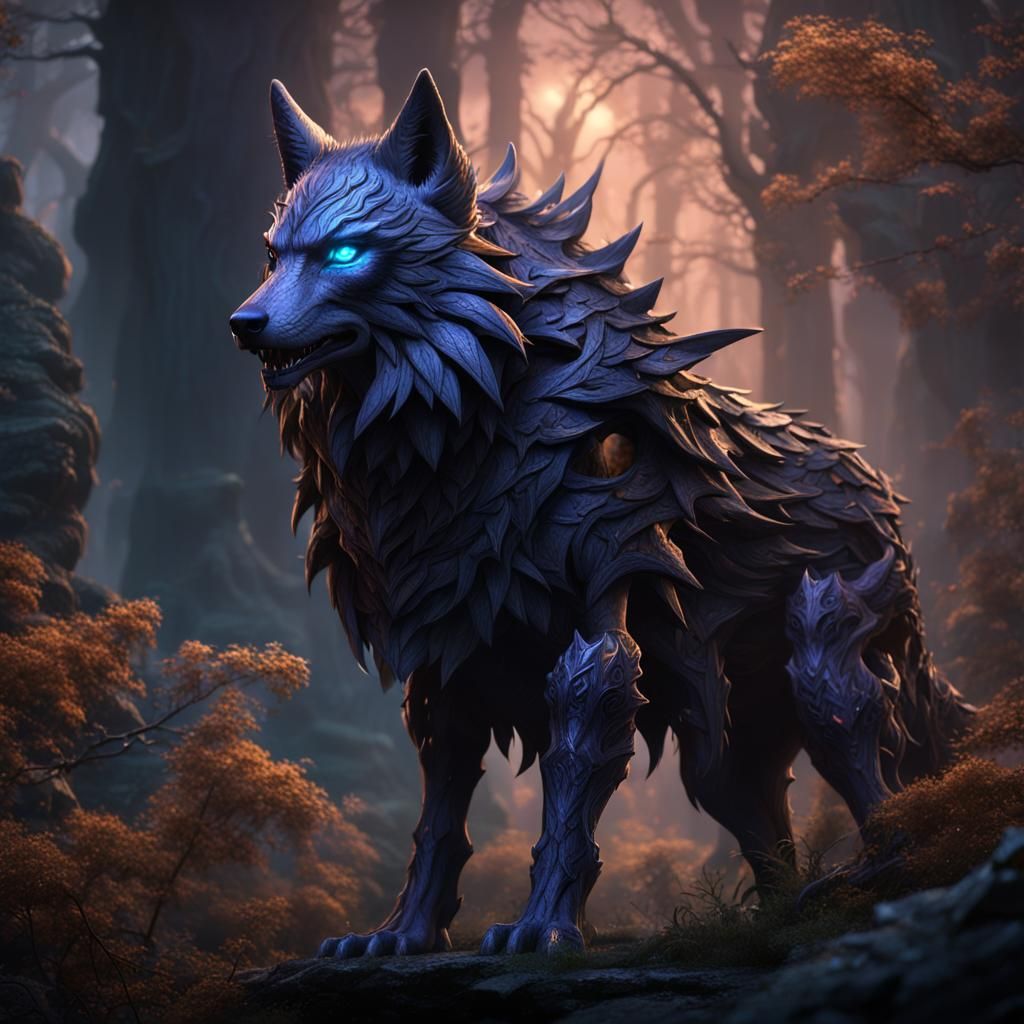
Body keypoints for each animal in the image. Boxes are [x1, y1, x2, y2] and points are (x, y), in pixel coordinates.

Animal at [230, 70, 973, 957]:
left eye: (345, 253)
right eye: (273, 254)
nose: (243, 323)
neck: (469, 412)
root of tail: (880, 485)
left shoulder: (599, 613)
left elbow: (577, 761)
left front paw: (544, 925)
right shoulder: (450, 641)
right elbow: (441, 804)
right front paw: (400, 933)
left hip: (821, 647)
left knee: (863, 741)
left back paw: (878, 882)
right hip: (724, 730)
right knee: (758, 806)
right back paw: (783, 914)